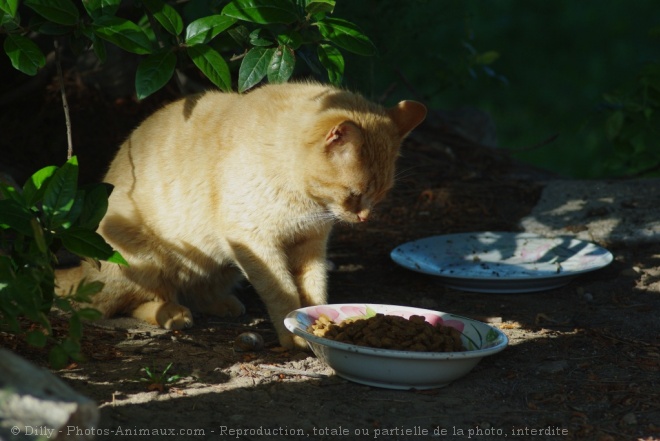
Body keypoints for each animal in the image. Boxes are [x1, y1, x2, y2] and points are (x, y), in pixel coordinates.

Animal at [58, 81, 428, 348]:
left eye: (380, 196)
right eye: (353, 195)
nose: (364, 218)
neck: (307, 202)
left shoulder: (310, 245)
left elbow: (314, 288)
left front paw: (315, 322)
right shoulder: (255, 243)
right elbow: (282, 292)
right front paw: (293, 335)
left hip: (221, 265)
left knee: (193, 290)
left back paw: (221, 303)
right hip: (143, 257)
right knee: (110, 306)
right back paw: (173, 313)